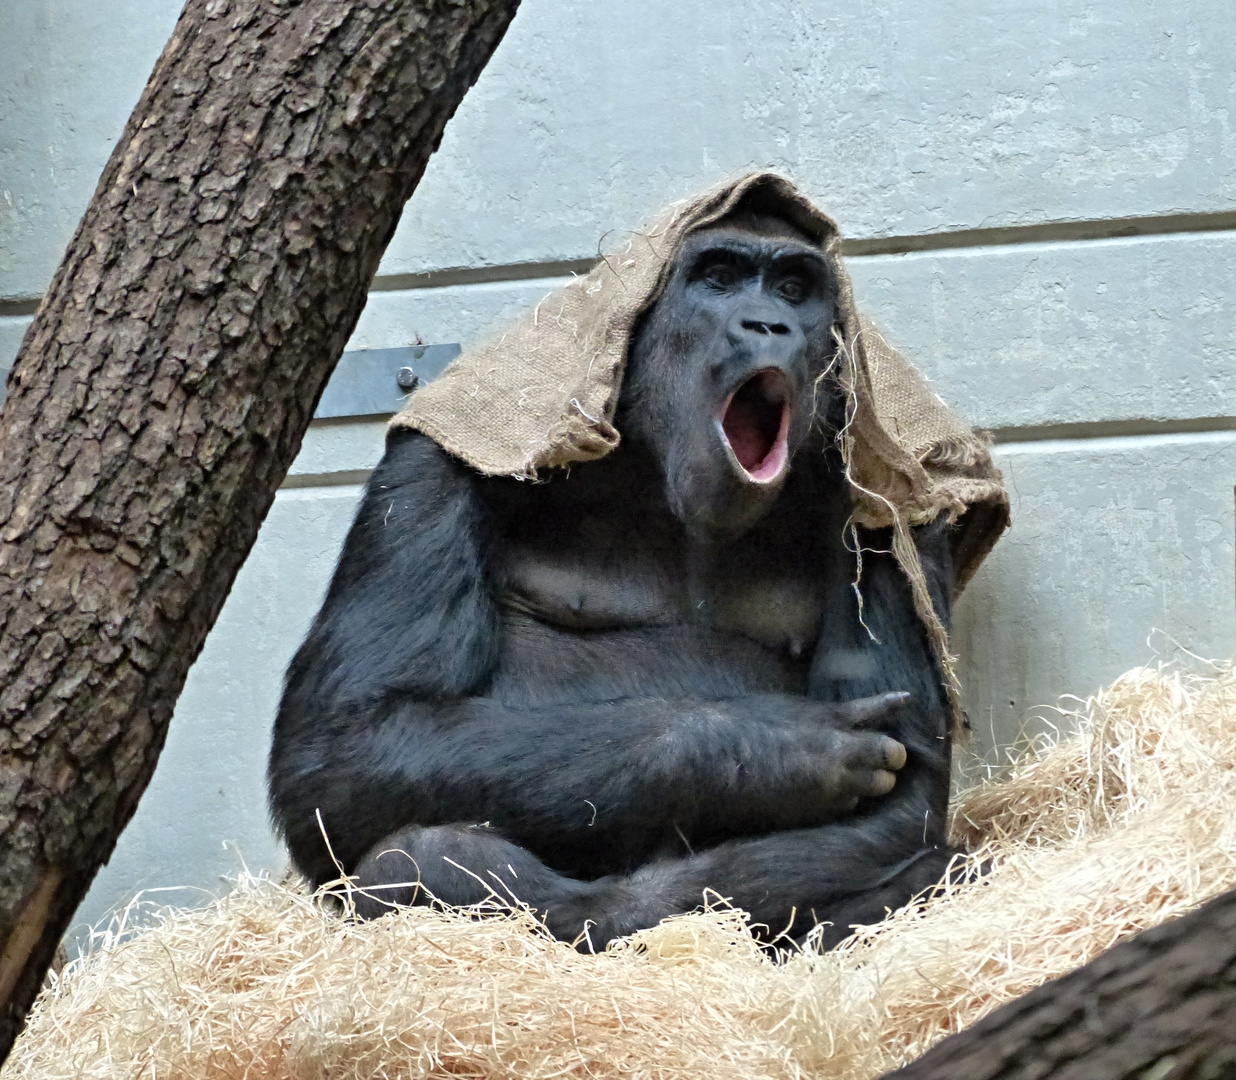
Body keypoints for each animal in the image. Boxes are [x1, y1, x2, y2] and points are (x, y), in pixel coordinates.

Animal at [265, 179, 998, 949]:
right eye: (720, 277)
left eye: (795, 288)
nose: (769, 324)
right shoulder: (447, 450)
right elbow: (352, 741)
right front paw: (766, 748)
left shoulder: (898, 497)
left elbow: (908, 796)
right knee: (409, 856)